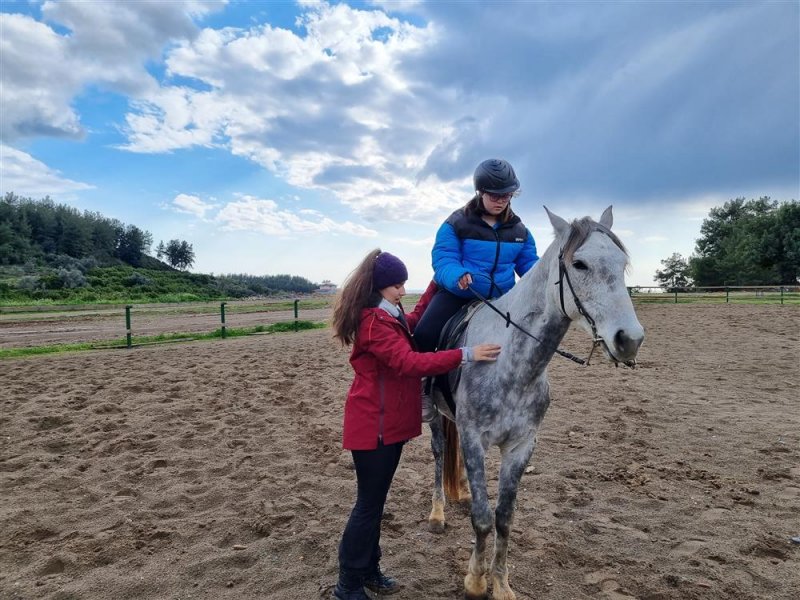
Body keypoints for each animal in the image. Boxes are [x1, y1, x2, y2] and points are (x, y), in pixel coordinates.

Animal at [424, 207, 644, 600]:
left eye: (621, 264)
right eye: (579, 264)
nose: (629, 339)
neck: (509, 362)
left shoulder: (521, 445)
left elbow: (503, 518)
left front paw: (501, 585)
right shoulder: (475, 439)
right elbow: (483, 518)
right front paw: (476, 582)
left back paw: (461, 493)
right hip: (436, 417)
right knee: (439, 453)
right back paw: (438, 514)